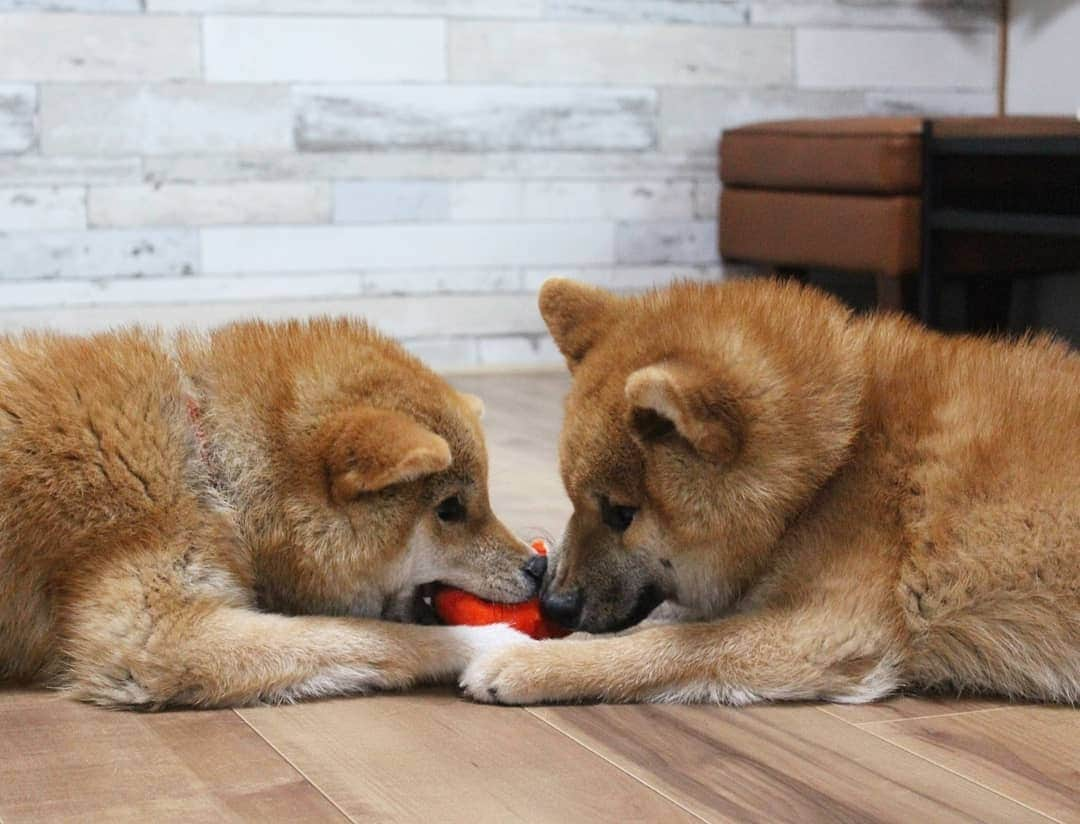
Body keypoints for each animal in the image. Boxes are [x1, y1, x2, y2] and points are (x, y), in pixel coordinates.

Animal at [0, 317, 540, 708]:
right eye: (450, 509)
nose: (539, 566)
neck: (212, 467)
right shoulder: (156, 639)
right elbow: (372, 636)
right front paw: (493, 642)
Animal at [460, 280, 1075, 704]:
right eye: (574, 501)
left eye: (621, 513)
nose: (553, 605)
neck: (832, 462)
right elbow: (668, 625)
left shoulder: (829, 632)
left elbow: (665, 644)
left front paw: (532, 662)